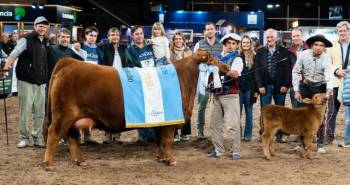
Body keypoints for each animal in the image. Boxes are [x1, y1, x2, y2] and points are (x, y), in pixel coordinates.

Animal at [43, 49, 230, 171]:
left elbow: (159, 140)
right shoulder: (170, 122)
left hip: (71, 118)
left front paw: (160, 158)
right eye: (212, 60)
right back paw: (48, 164)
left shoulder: (161, 120)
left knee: (71, 137)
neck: (183, 80)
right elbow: (167, 141)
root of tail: (69, 62)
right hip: (64, 114)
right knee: (54, 134)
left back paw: (80, 161)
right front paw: (171, 160)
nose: (227, 67)